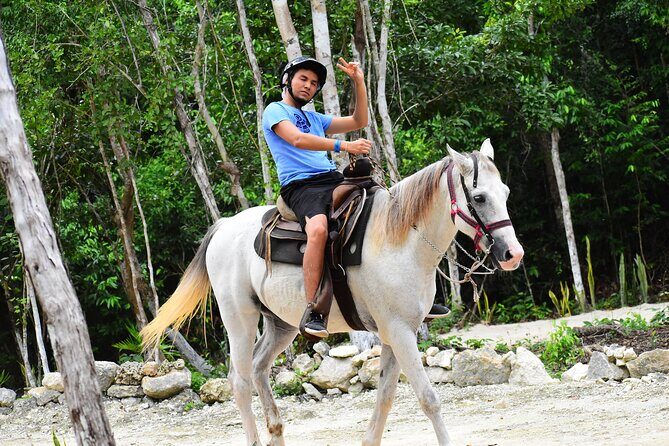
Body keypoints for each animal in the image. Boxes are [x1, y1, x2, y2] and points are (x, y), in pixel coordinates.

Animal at [141, 139, 524, 446]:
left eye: (506, 193)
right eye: (479, 197)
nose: (512, 254)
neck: (400, 239)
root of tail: (223, 227)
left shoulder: (395, 335)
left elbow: (385, 398)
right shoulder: (400, 333)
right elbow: (429, 398)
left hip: (282, 324)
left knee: (260, 368)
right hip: (240, 319)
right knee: (240, 380)